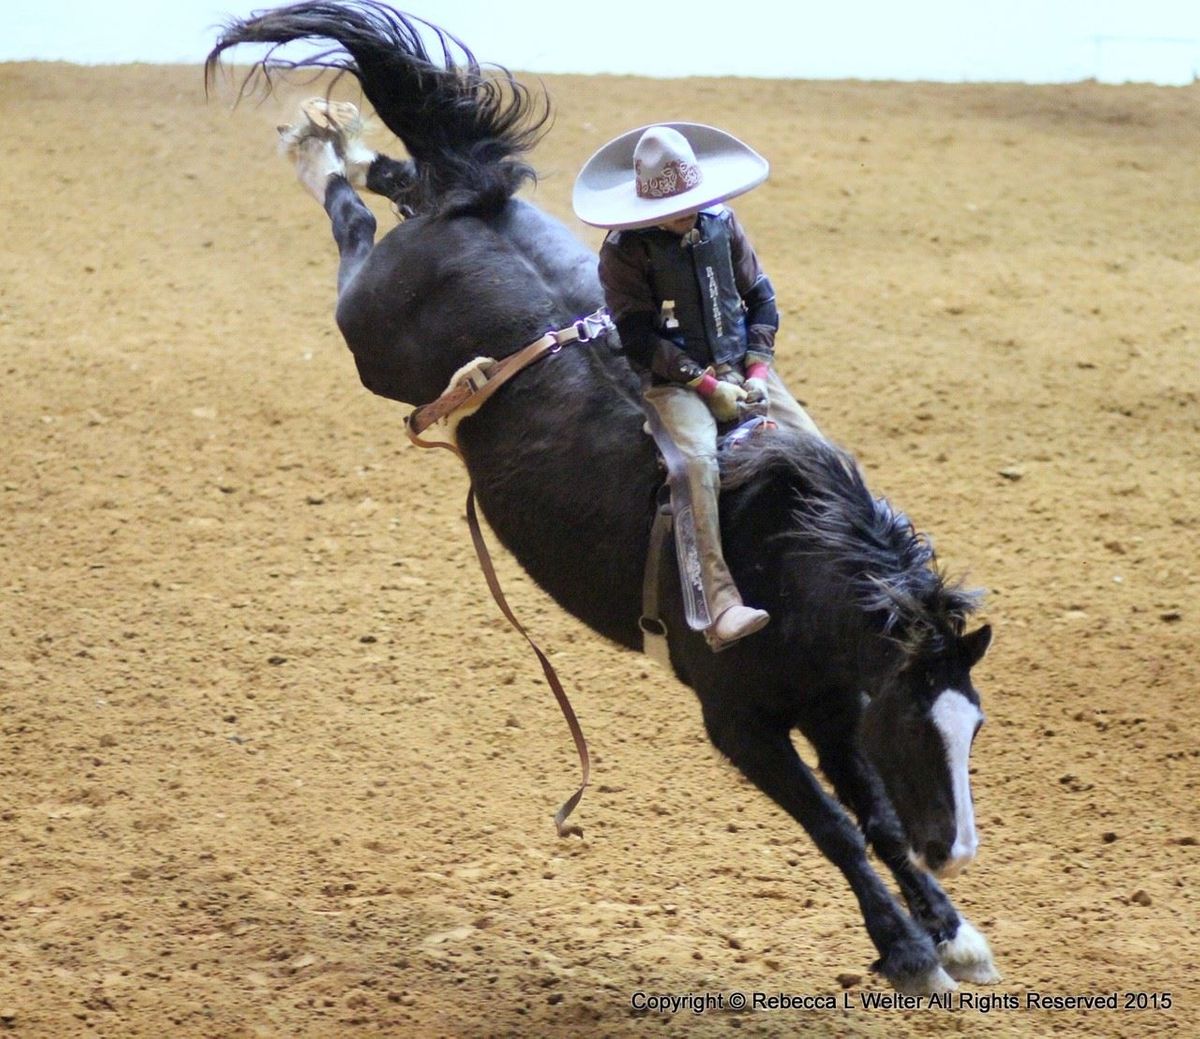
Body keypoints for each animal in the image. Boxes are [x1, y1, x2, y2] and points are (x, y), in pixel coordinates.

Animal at [208, 0, 1003, 988]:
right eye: (918, 724)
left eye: (973, 727)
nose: (957, 851)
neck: (784, 568)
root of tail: (473, 208)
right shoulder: (739, 723)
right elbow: (836, 828)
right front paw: (906, 947)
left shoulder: (832, 705)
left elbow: (877, 818)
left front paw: (953, 931)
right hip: (365, 330)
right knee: (353, 226)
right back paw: (315, 148)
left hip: (427, 244)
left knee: (411, 180)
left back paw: (343, 140)